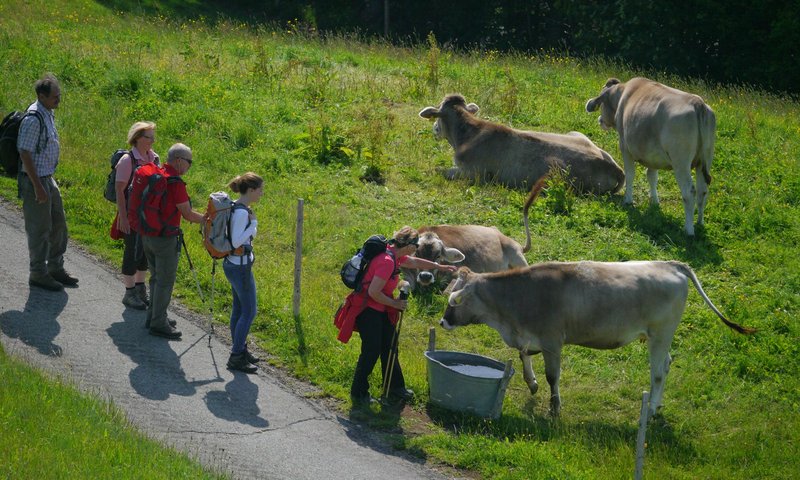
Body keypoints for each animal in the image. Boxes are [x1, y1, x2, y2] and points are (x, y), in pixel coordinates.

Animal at [418, 94, 624, 195]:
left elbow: (440, 170)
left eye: (438, 115)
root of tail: (616, 168)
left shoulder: (474, 173)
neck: (467, 134)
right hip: (578, 135)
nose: (435, 130)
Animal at [440, 262, 752, 416]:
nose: (443, 321)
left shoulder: (553, 341)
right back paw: (658, 405)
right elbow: (523, 355)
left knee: (658, 372)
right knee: (667, 363)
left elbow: (553, 376)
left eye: (456, 300)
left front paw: (555, 407)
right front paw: (531, 383)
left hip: (661, 334)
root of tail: (671, 265)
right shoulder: (530, 337)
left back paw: (652, 408)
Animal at [580, 77, 720, 236]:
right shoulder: (653, 156)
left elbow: (630, 174)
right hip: (705, 160)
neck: (623, 94)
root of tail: (698, 103)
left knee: (689, 192)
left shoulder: (624, 146)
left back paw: (689, 229)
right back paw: (700, 222)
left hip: (681, 162)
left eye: (602, 104)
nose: (600, 120)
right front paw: (654, 201)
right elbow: (652, 176)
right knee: (703, 191)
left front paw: (628, 200)